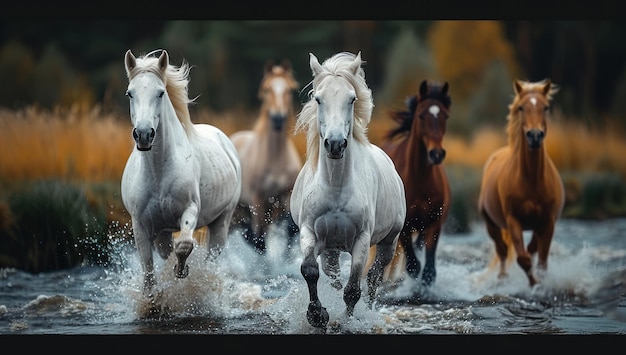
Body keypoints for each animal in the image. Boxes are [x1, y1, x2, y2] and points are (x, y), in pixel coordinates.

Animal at [121, 50, 241, 294]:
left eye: (160, 92)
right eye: (130, 93)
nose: (144, 134)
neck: (158, 172)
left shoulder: (190, 210)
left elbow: (184, 245)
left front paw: (181, 270)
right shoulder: (141, 226)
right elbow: (148, 272)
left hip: (221, 222)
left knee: (212, 257)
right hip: (162, 232)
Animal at [288, 51, 404, 330]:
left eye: (351, 99)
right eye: (318, 99)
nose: (335, 144)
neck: (336, 187)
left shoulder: (362, 240)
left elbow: (353, 289)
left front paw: (344, 320)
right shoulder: (309, 232)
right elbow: (310, 270)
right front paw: (317, 315)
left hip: (389, 241)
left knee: (374, 277)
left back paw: (368, 312)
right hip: (331, 248)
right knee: (333, 277)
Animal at [378, 80, 450, 286]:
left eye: (445, 116)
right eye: (421, 115)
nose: (436, 153)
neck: (420, 179)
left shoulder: (434, 223)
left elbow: (428, 271)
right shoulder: (404, 226)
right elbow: (413, 266)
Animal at [476, 79, 564, 288]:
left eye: (545, 107)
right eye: (521, 107)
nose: (535, 135)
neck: (532, 180)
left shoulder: (547, 222)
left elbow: (542, 261)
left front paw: (541, 283)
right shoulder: (513, 221)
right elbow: (523, 259)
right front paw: (534, 285)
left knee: (531, 249)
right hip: (492, 224)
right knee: (502, 251)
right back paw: (502, 278)